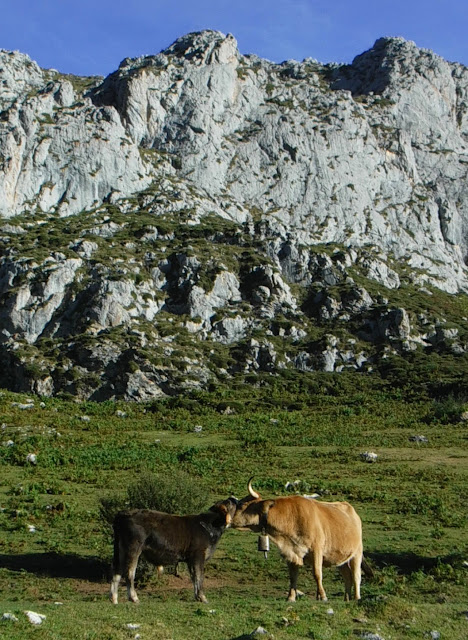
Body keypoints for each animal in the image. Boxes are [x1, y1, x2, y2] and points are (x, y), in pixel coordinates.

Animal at [110, 497, 238, 604]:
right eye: (229, 503)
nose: (234, 498)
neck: (208, 526)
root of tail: (123, 513)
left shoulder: (190, 560)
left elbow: (194, 577)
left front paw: (197, 597)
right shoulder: (198, 556)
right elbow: (199, 576)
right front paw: (203, 598)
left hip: (120, 550)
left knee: (117, 571)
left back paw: (114, 599)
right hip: (133, 548)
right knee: (129, 573)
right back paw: (134, 598)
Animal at [230, 478, 372, 602]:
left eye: (242, 504)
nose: (228, 519)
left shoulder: (317, 549)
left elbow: (317, 574)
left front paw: (323, 596)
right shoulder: (291, 552)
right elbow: (293, 577)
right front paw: (291, 598)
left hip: (357, 553)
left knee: (356, 576)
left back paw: (356, 598)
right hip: (340, 558)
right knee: (347, 577)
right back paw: (346, 599)